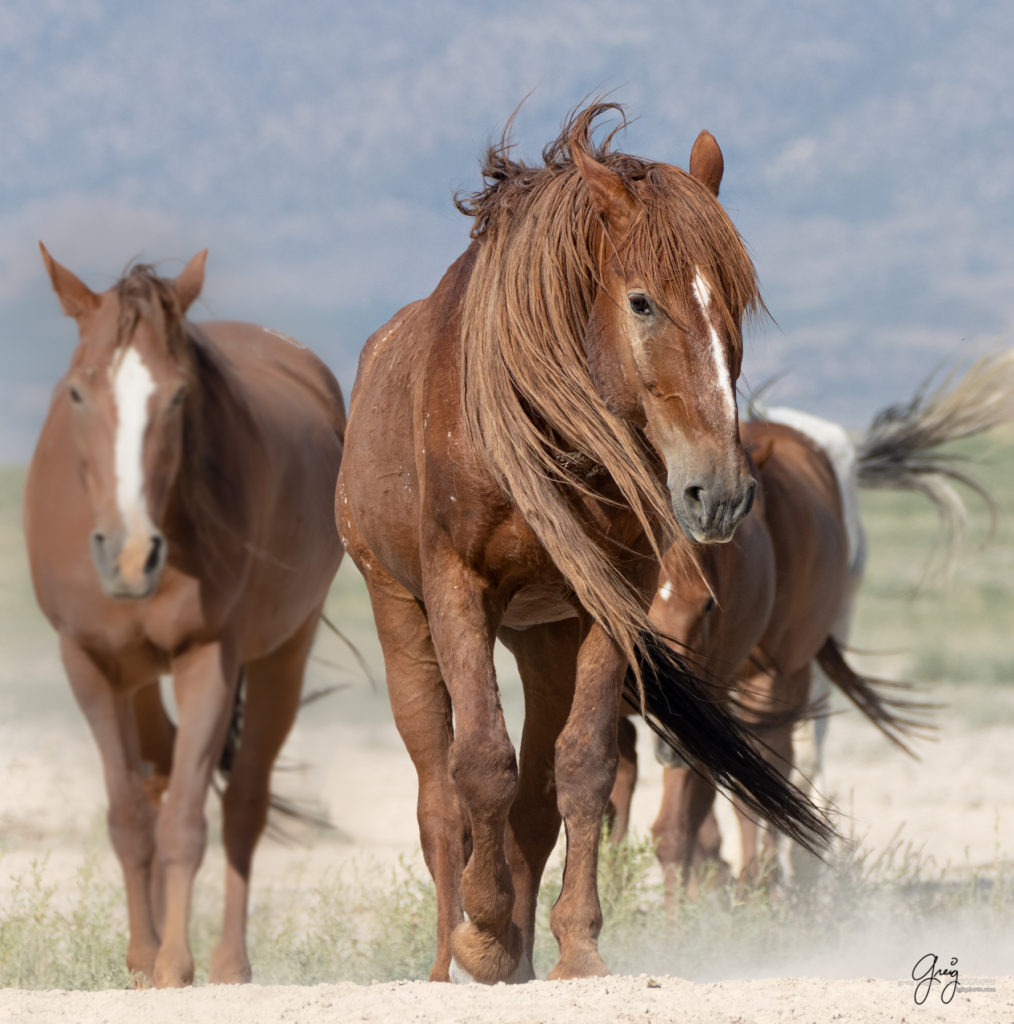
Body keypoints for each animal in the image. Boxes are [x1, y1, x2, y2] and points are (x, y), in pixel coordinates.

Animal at [23, 245, 348, 983]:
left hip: (284, 654)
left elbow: (185, 824)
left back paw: (230, 963)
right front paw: (143, 960)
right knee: (161, 774)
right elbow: (128, 818)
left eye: (177, 397)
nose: (129, 555)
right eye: (78, 393)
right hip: (138, 679)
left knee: (244, 803)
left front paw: (174, 964)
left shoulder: (209, 658)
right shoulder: (88, 664)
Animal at [338, 103, 827, 983]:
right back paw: (452, 951)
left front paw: (574, 945)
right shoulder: (458, 587)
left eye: (735, 303)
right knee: (437, 793)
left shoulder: (613, 599)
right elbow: (480, 764)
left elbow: (584, 768)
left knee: (536, 796)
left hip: (544, 636)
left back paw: (523, 954)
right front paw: (483, 933)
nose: (720, 491)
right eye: (641, 302)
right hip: (400, 612)